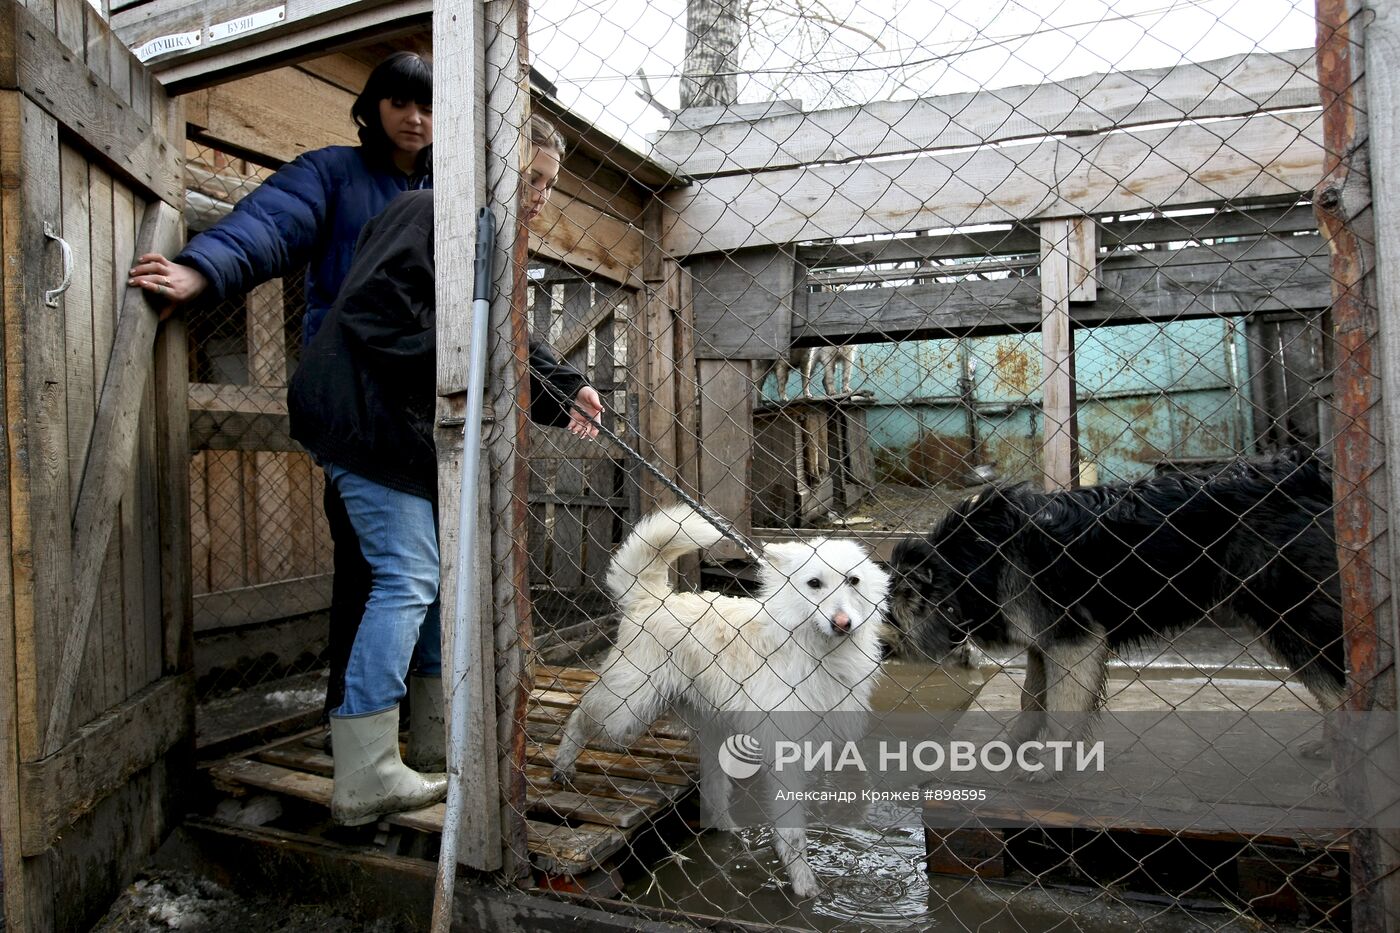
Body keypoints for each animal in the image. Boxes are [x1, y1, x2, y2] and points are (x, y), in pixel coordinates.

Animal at [551, 504, 890, 896]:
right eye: (814, 584)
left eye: (853, 581)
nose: (842, 623)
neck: (814, 651)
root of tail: (652, 599)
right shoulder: (785, 754)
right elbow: (793, 833)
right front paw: (804, 885)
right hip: (625, 713)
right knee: (581, 713)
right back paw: (563, 765)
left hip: (712, 735)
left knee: (713, 795)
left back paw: (730, 832)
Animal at [890, 448, 1338, 745]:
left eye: (879, 615)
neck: (970, 563)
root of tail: (1304, 471)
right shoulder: (1043, 643)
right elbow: (1030, 699)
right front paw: (1017, 745)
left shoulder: (1077, 642)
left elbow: (1063, 708)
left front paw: (1049, 764)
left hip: (1289, 615)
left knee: (1337, 686)